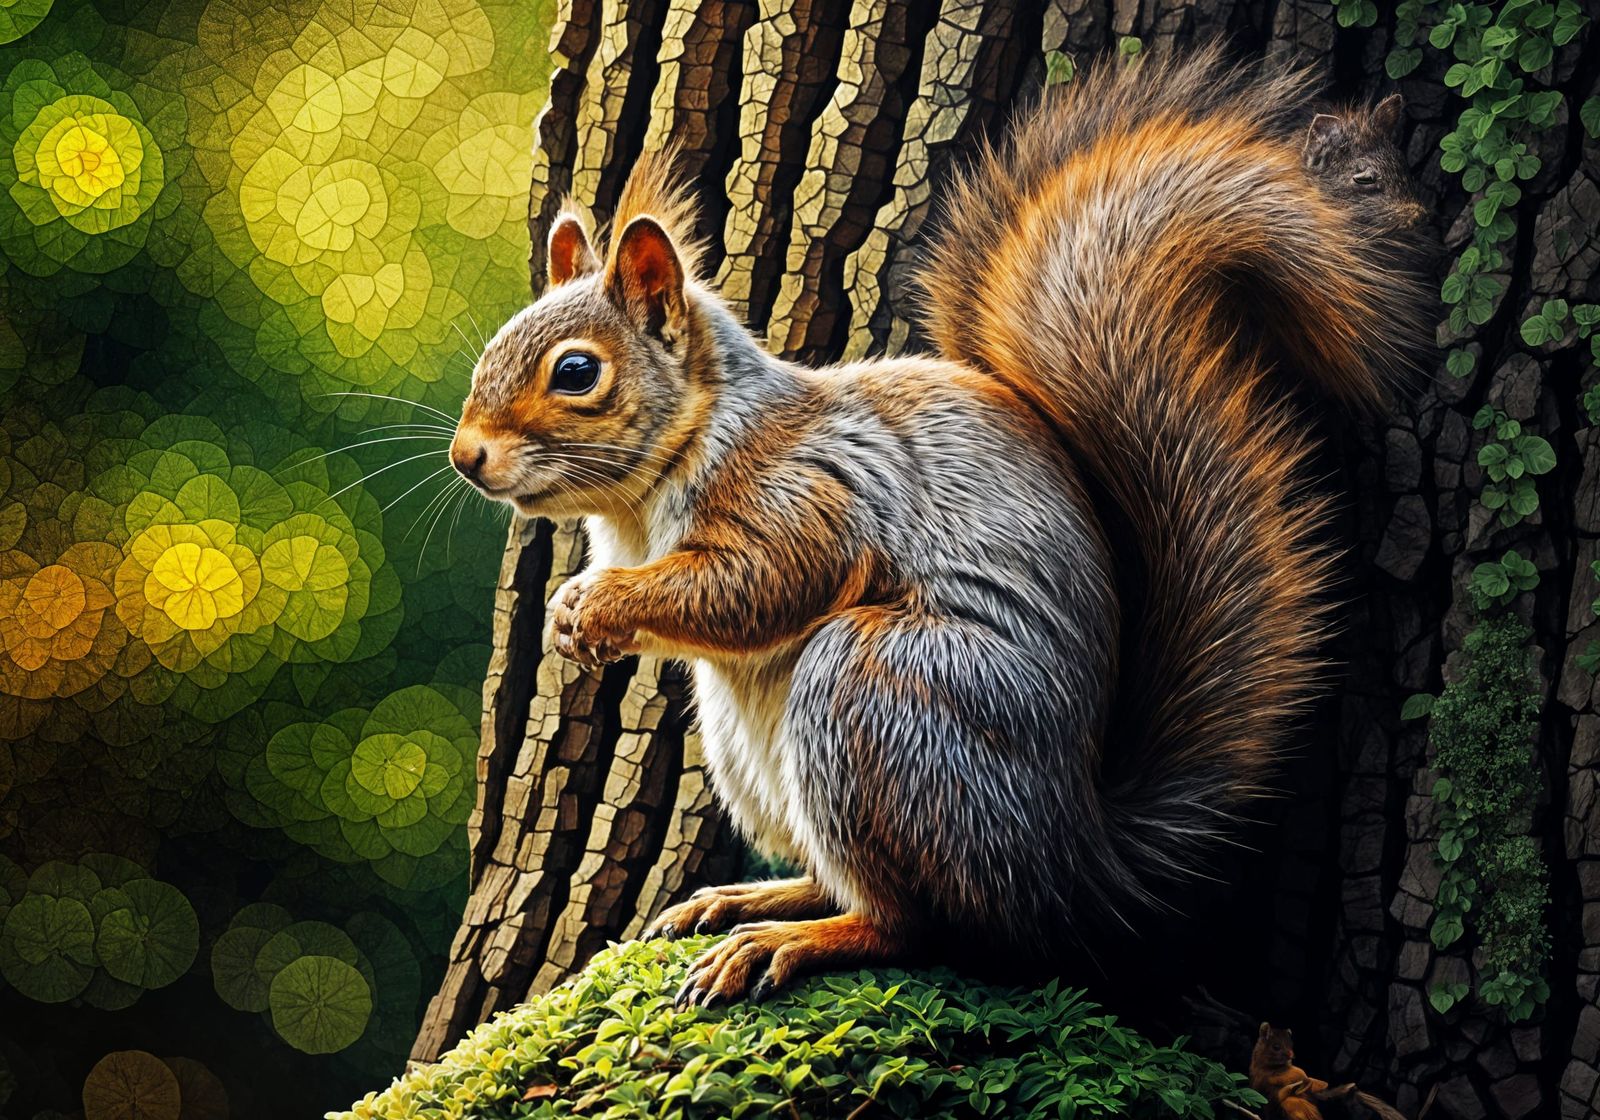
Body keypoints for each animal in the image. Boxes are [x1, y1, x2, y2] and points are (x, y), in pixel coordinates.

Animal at [448, 47, 1429, 1005]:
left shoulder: (809, 491)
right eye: (494, 345)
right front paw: (573, 618)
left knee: (913, 923)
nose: (466, 457)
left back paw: (791, 941)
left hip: (878, 696)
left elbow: (759, 583)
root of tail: (1074, 860)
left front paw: (599, 604)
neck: (650, 491)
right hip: (756, 744)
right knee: (850, 880)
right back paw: (754, 897)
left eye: (577, 372)